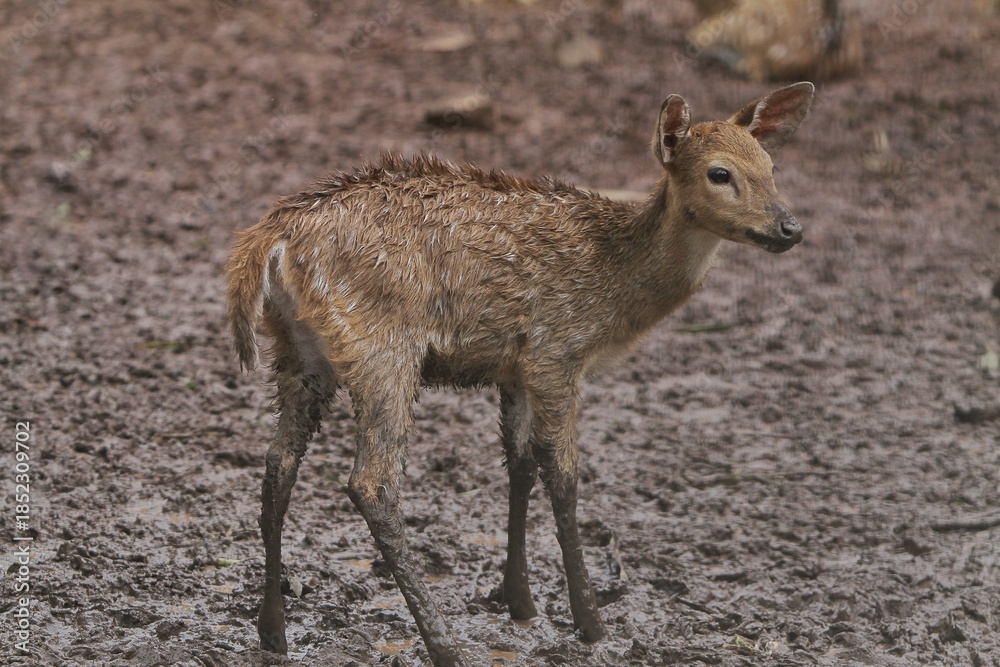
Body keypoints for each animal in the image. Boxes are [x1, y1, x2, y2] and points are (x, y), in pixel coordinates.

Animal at [225, 81, 815, 667]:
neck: (618, 286)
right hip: (382, 348)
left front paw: (520, 601)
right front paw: (590, 623)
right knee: (372, 482)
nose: (790, 228)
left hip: (297, 349)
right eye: (720, 173)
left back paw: (272, 631)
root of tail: (272, 239)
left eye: (771, 166)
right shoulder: (557, 352)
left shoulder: (515, 368)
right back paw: (443, 644)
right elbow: (564, 477)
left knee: (277, 464)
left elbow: (520, 465)